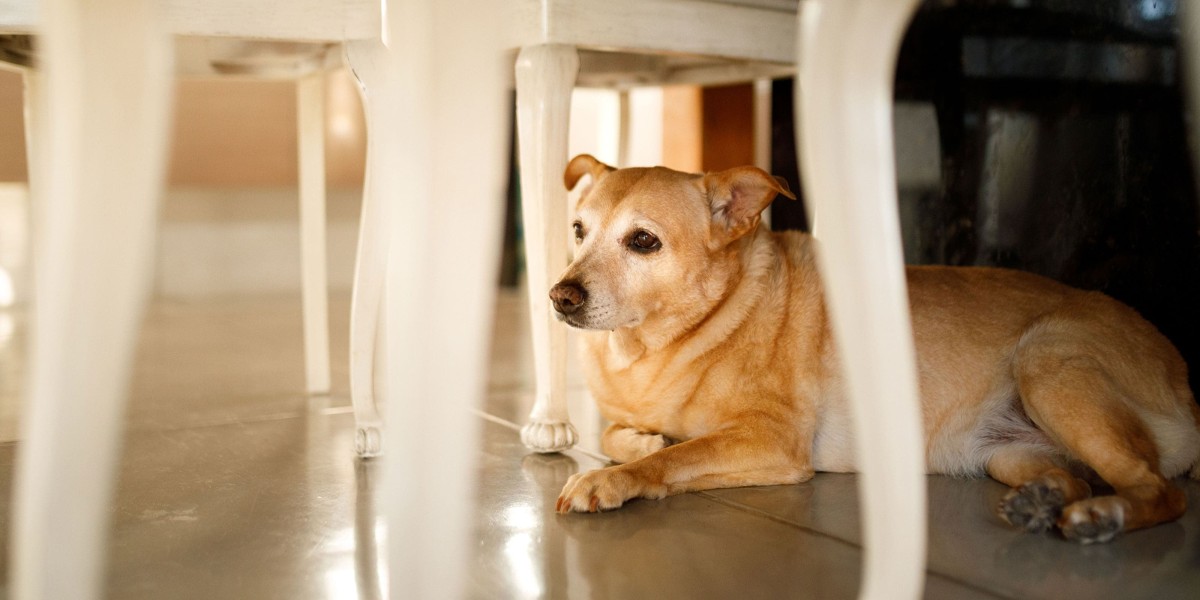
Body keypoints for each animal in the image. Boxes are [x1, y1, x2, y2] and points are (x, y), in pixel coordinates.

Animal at [549, 153, 1200, 544]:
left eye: (643, 241)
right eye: (577, 230)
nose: (559, 296)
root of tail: (1187, 385)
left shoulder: (773, 440)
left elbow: (671, 459)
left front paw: (612, 478)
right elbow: (619, 432)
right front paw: (641, 439)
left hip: (1047, 360)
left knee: (1161, 491)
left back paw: (1101, 516)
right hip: (1006, 451)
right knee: (1082, 479)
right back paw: (1044, 501)